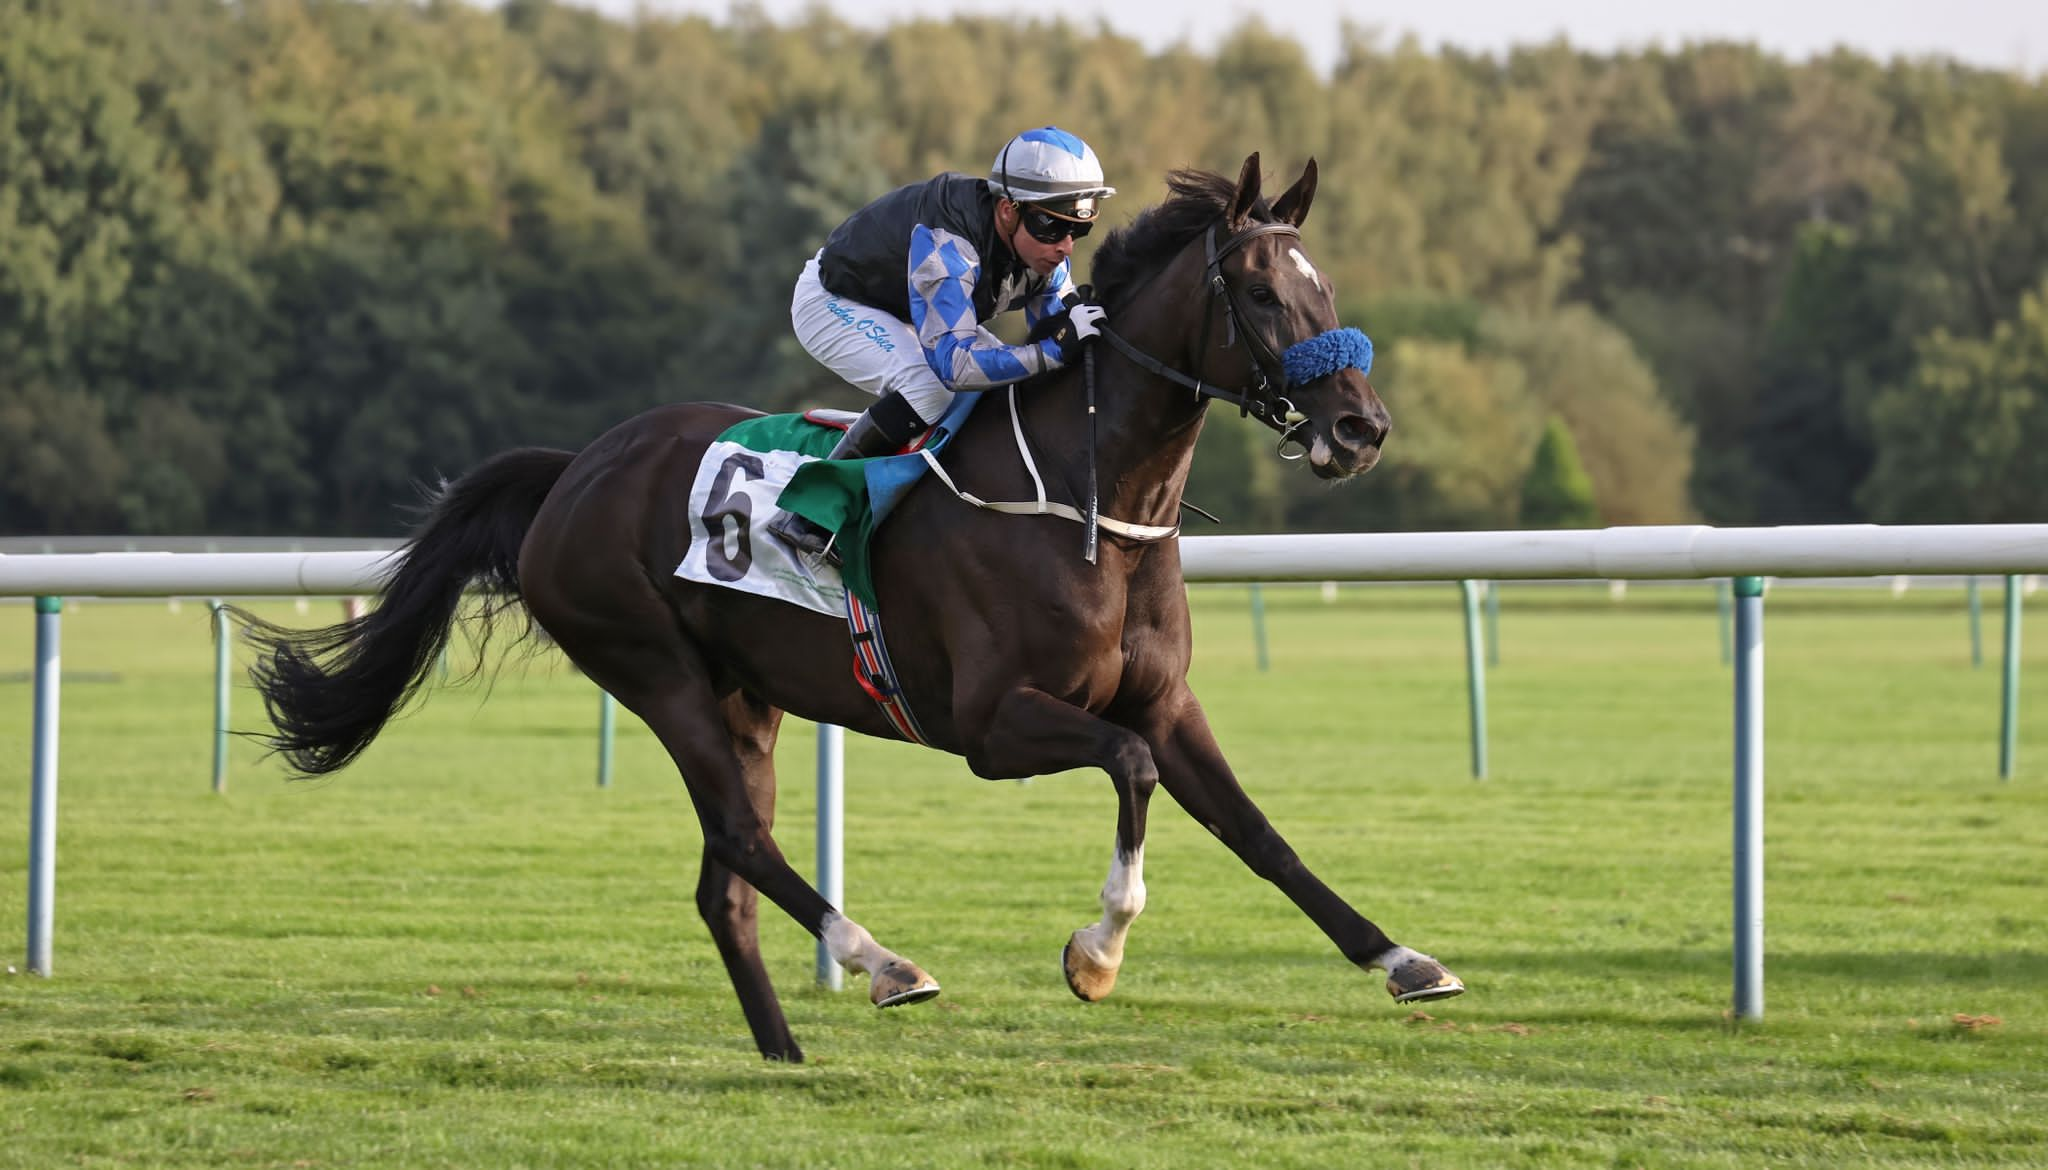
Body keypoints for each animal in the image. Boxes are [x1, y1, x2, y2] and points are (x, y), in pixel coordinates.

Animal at [243, 155, 1458, 1065]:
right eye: (1257, 293)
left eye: (1324, 290)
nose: (1361, 428)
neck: (1090, 501)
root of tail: (577, 468)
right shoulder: (991, 727)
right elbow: (1131, 769)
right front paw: (1095, 956)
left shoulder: (1163, 700)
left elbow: (1257, 832)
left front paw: (1403, 961)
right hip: (653, 669)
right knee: (741, 839)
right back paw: (885, 966)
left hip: (747, 699)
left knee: (724, 878)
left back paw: (784, 1048)